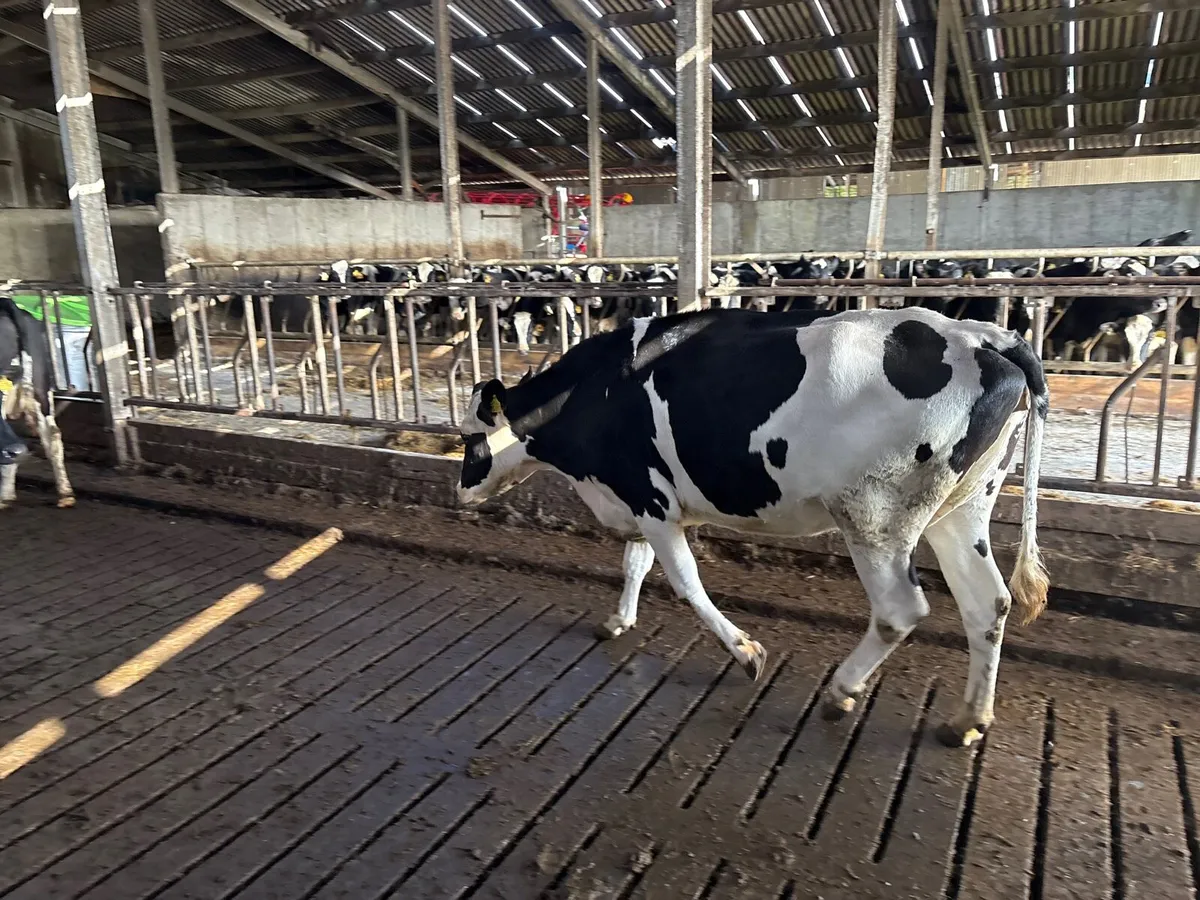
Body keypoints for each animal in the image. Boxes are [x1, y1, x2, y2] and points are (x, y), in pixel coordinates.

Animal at [454, 306, 1049, 748]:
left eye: (467, 438)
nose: (459, 492)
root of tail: (981, 334)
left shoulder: (648, 496)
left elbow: (685, 581)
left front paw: (747, 652)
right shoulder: (641, 502)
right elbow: (635, 563)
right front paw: (618, 620)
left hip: (875, 513)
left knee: (899, 610)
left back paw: (840, 691)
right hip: (962, 508)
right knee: (988, 604)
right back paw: (967, 720)